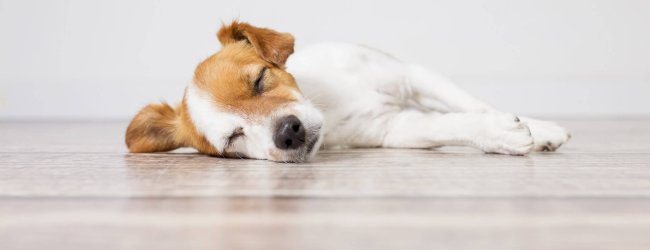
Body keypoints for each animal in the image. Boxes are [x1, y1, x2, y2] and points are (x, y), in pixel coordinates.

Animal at [125, 21, 568, 162]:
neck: (329, 101)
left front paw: (542, 129)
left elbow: (474, 103)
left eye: (260, 80)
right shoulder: (395, 128)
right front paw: (500, 135)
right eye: (233, 139)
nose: (288, 132)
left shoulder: (413, 75)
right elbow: (452, 123)